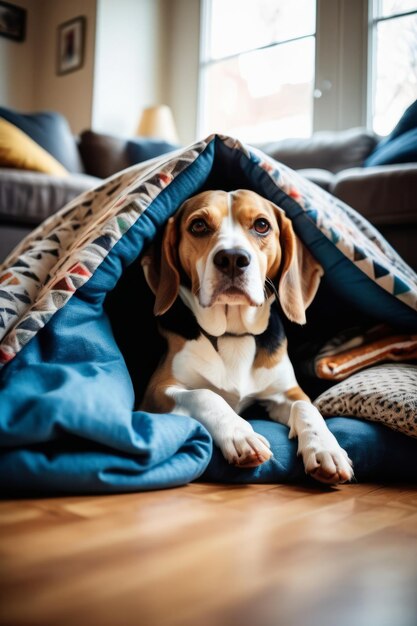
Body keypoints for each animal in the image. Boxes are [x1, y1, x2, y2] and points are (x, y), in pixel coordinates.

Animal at [140, 186, 352, 482]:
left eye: (262, 225)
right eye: (198, 225)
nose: (232, 258)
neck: (233, 333)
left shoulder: (288, 391)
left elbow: (307, 407)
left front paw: (325, 448)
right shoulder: (155, 393)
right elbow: (205, 395)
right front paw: (241, 435)